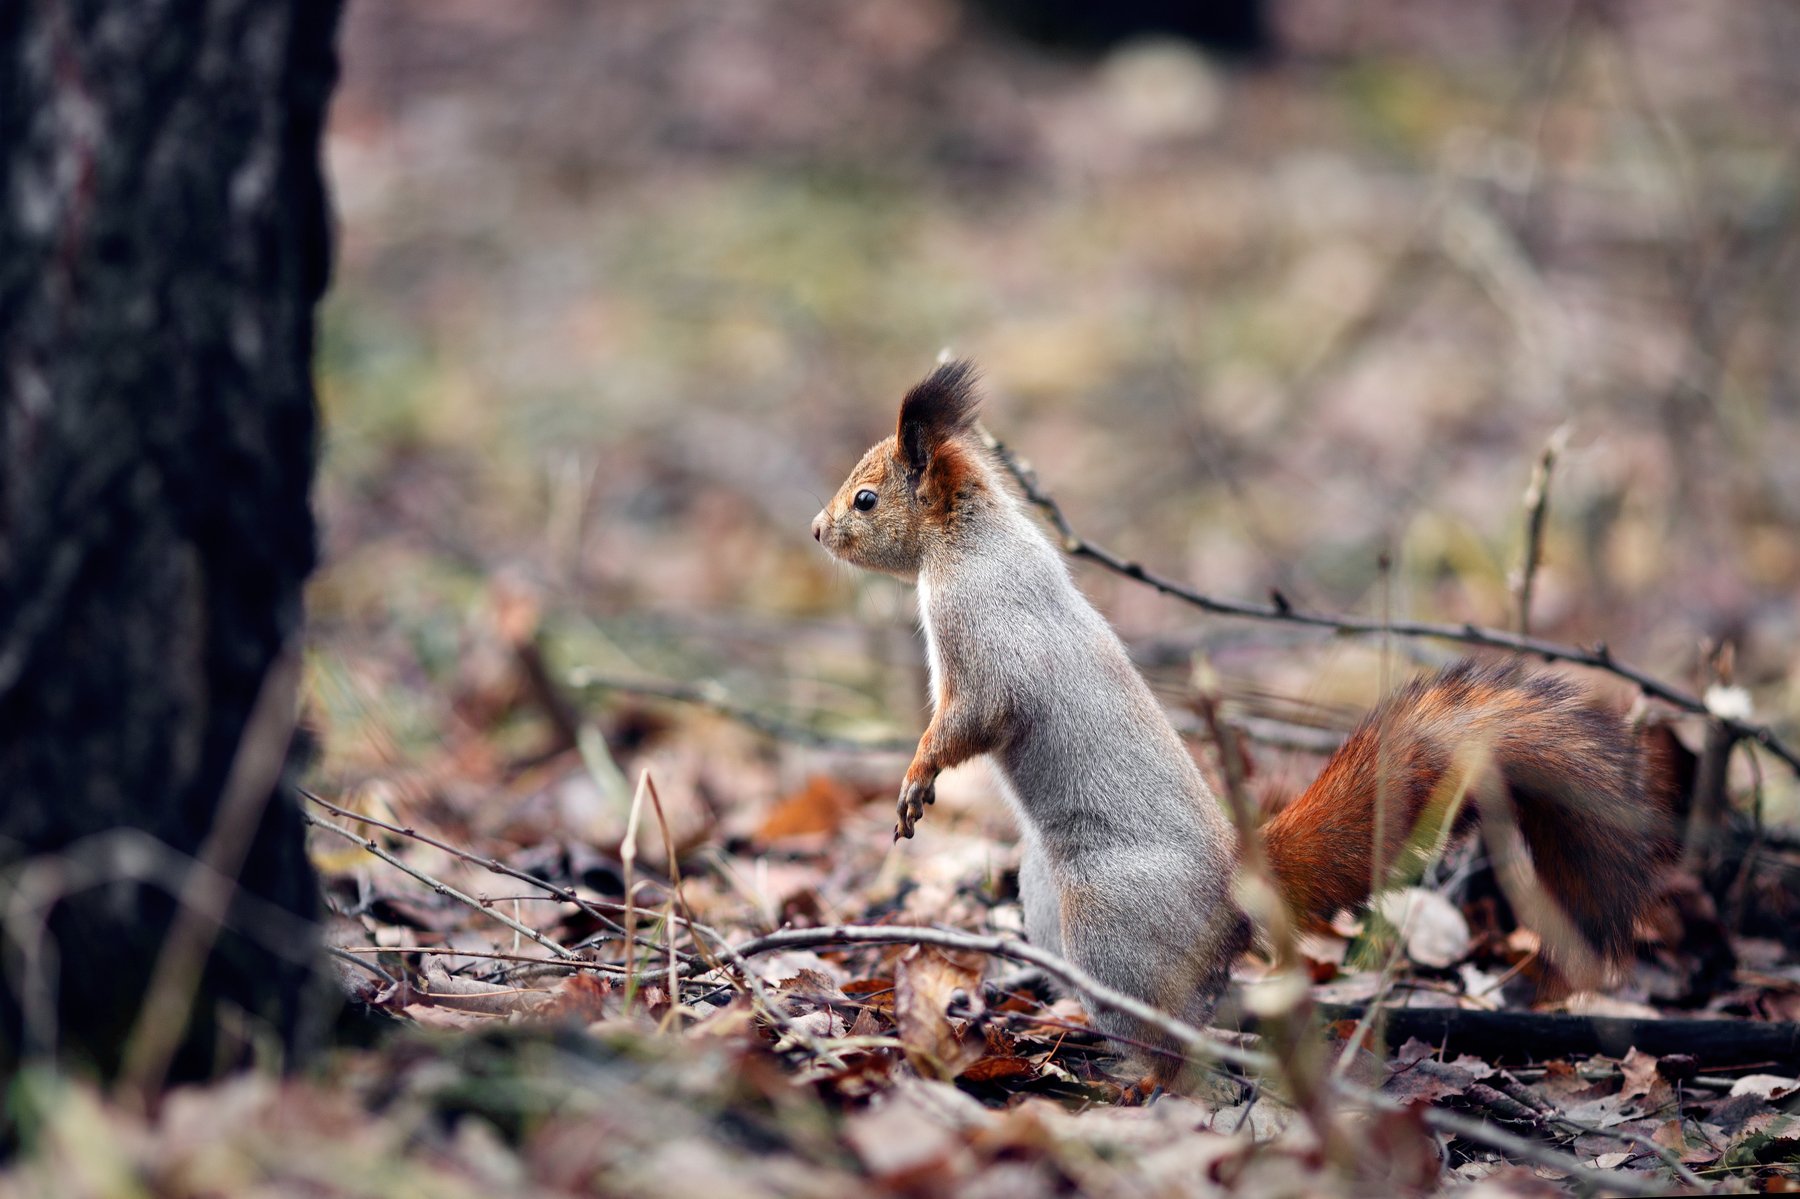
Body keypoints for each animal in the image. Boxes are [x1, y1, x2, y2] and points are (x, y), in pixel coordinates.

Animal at [810, 356, 1677, 1072]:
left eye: (867, 498)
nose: (818, 530)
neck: (969, 536)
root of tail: (1235, 892)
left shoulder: (989, 638)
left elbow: (973, 719)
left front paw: (917, 775)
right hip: (1046, 902)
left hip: (1107, 917)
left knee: (1170, 1030)